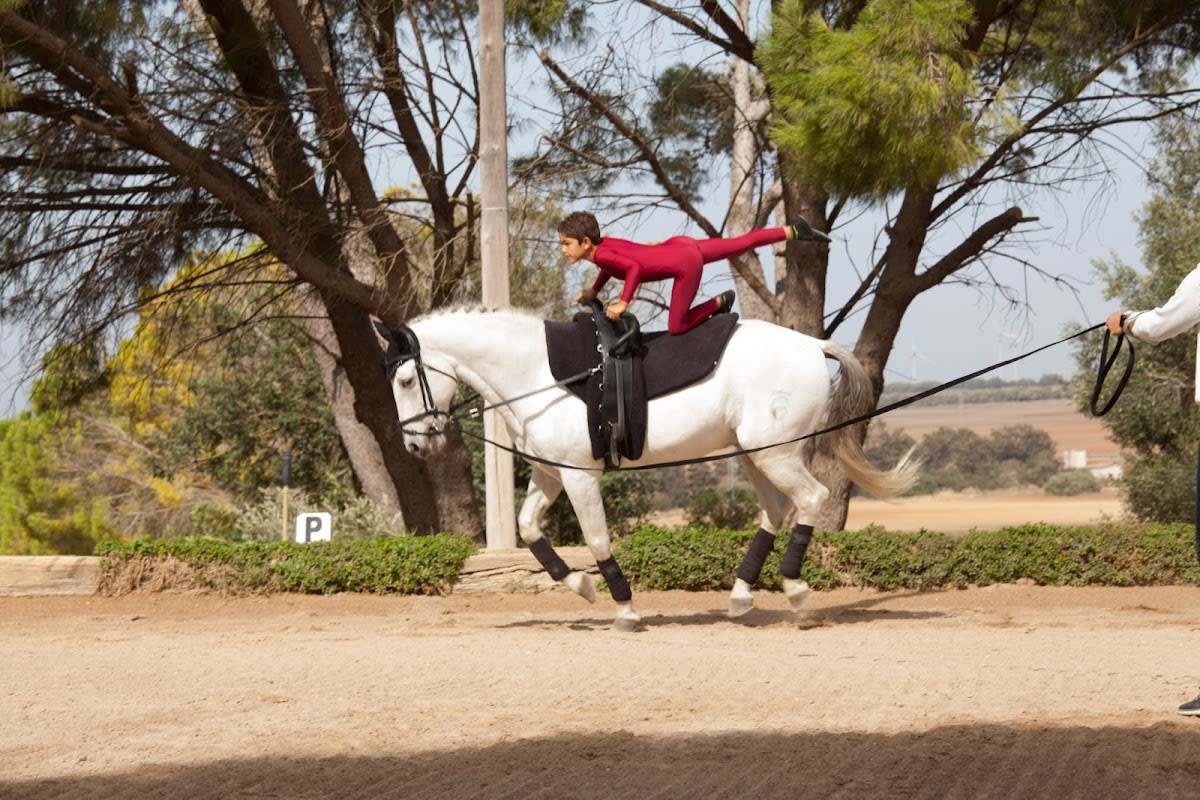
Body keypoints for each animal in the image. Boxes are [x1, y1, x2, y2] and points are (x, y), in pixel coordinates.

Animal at [379, 307, 917, 630]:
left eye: (404, 380)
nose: (415, 444)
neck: (536, 374)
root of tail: (811, 345)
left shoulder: (578, 476)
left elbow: (597, 539)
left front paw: (624, 607)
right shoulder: (551, 473)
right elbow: (528, 527)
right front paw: (580, 586)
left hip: (774, 453)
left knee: (810, 499)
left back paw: (797, 592)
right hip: (756, 454)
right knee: (776, 510)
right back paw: (741, 595)